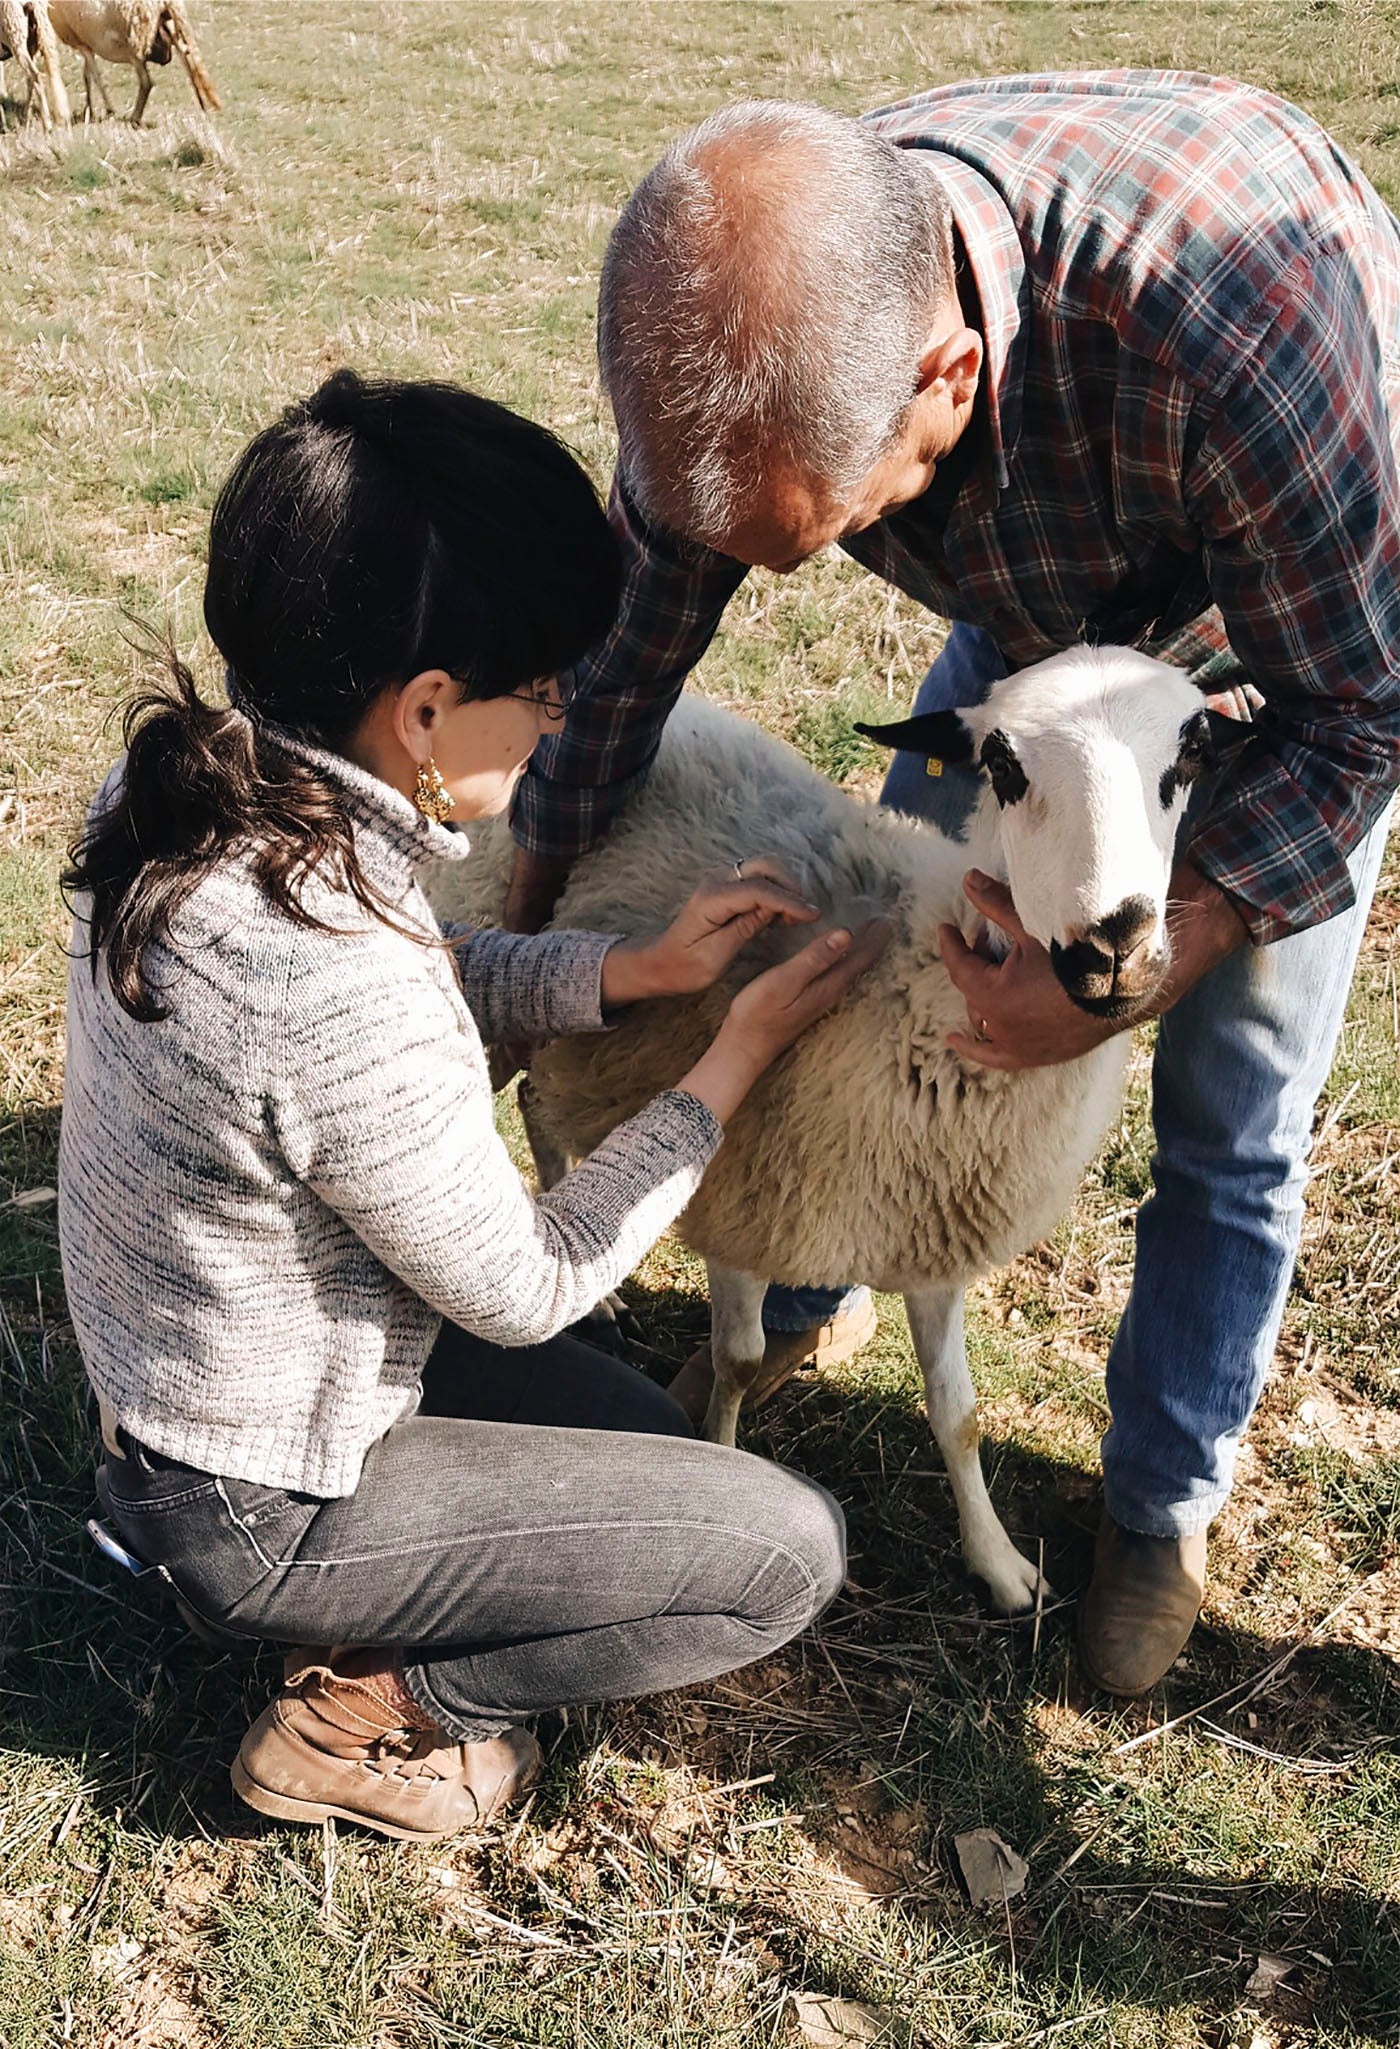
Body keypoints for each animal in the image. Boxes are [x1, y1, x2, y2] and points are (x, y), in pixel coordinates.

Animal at [0, 0, 71, 130]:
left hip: (16, 38)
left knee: (35, 77)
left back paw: (46, 124)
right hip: (40, 38)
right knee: (36, 79)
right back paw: (27, 120)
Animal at [48, 0, 219, 125]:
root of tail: (165, 2)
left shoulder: (81, 42)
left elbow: (95, 77)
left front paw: (107, 109)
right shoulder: (85, 43)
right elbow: (87, 75)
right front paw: (89, 108)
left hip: (135, 41)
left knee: (146, 82)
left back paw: (134, 117)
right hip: (167, 27)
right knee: (187, 59)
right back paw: (202, 109)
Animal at [432, 647, 1221, 1606]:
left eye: (1188, 762)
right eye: (1003, 765)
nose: (1116, 946)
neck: (915, 988)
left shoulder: (932, 1233)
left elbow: (958, 1412)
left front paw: (998, 1562)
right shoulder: (739, 1195)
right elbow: (737, 1360)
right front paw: (723, 1463)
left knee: (541, 1111)